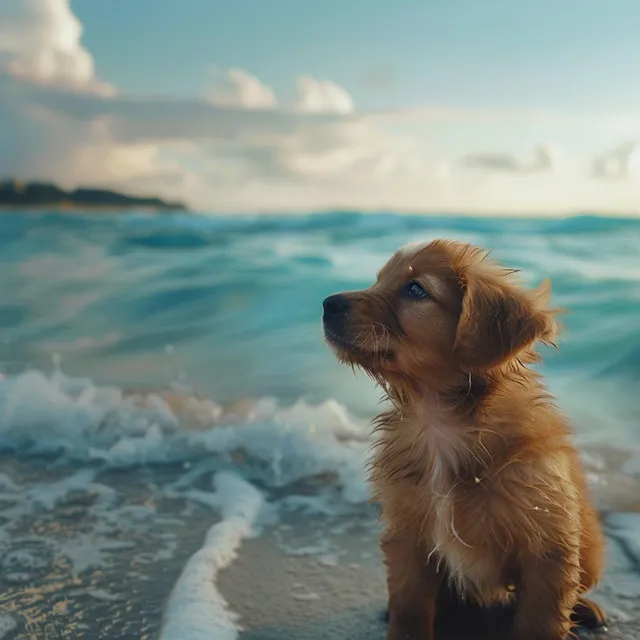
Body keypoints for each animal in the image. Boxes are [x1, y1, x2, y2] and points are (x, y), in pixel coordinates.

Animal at [322, 240, 608, 640]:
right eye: (378, 281)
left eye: (415, 289)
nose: (327, 303)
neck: (442, 422)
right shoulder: (407, 534)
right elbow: (409, 607)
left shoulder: (548, 543)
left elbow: (541, 616)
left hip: (591, 550)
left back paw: (586, 608)